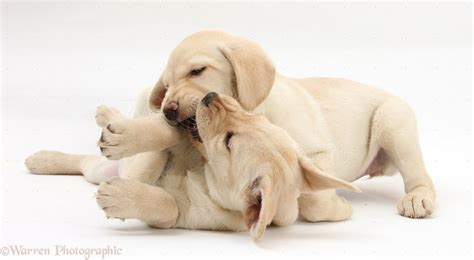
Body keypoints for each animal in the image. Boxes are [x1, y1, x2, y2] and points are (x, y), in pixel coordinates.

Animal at [25, 30, 434, 218]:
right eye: (167, 84)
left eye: (198, 70)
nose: (168, 107)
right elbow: (166, 133)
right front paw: (130, 130)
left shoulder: (316, 151)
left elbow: (314, 199)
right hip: (104, 169)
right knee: (88, 163)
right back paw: (48, 155)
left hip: (394, 121)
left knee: (419, 175)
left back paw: (418, 198)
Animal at [93, 92, 360, 241]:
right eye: (258, 117)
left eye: (228, 141)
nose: (211, 95)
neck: (203, 175)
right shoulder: (183, 136)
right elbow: (167, 135)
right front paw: (123, 139)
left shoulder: (191, 216)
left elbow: (168, 205)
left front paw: (118, 195)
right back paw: (108, 114)